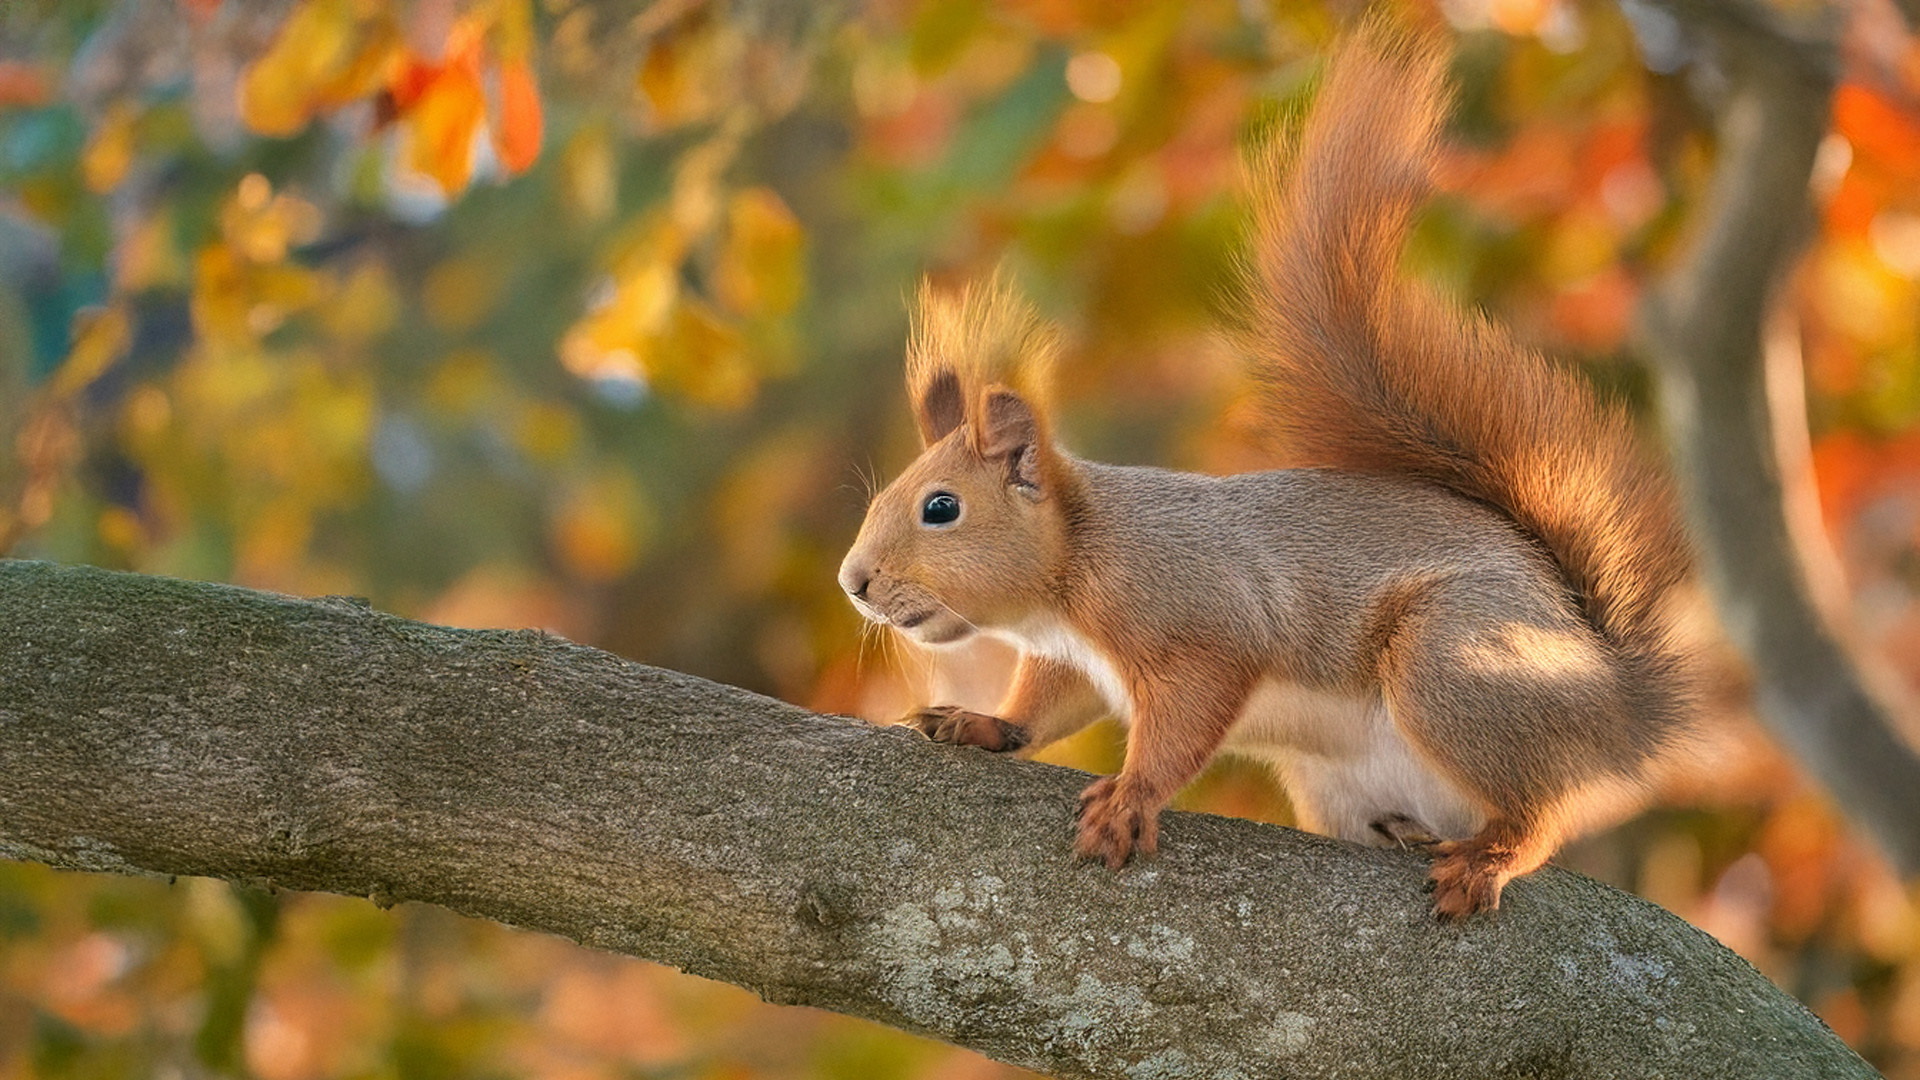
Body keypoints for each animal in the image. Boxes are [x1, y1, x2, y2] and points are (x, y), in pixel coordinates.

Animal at [837, 23, 1697, 914]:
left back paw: (1490, 856)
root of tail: (1619, 708)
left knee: (1541, 812)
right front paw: (982, 724)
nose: (854, 582)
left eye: (942, 508)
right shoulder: (1073, 664)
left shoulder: (1199, 621)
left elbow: (1185, 724)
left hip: (1456, 667)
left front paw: (1130, 798)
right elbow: (1043, 707)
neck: (1079, 563)